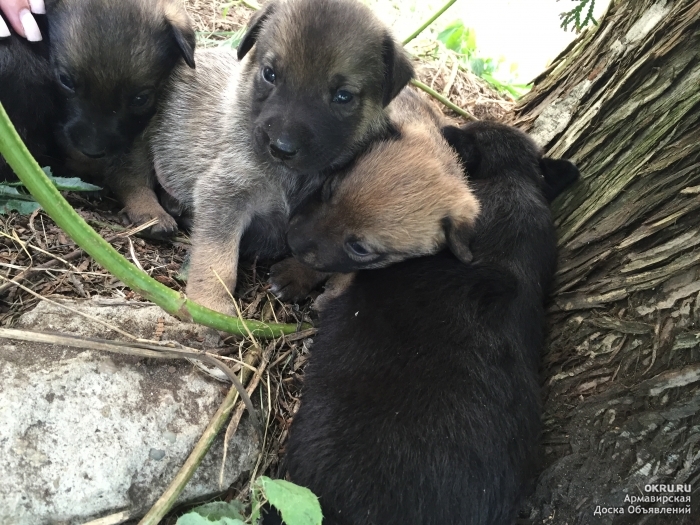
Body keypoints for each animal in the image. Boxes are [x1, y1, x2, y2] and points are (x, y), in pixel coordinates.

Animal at [146, 0, 410, 314]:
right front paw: (210, 306)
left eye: (343, 96)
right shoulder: (225, 193)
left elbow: (326, 252)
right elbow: (216, 259)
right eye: (269, 74)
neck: (290, 179)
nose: (281, 148)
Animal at [276, 122, 584, 524]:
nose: (291, 240)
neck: (509, 179)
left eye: (361, 247)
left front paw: (299, 277)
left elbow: (337, 273)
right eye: (327, 190)